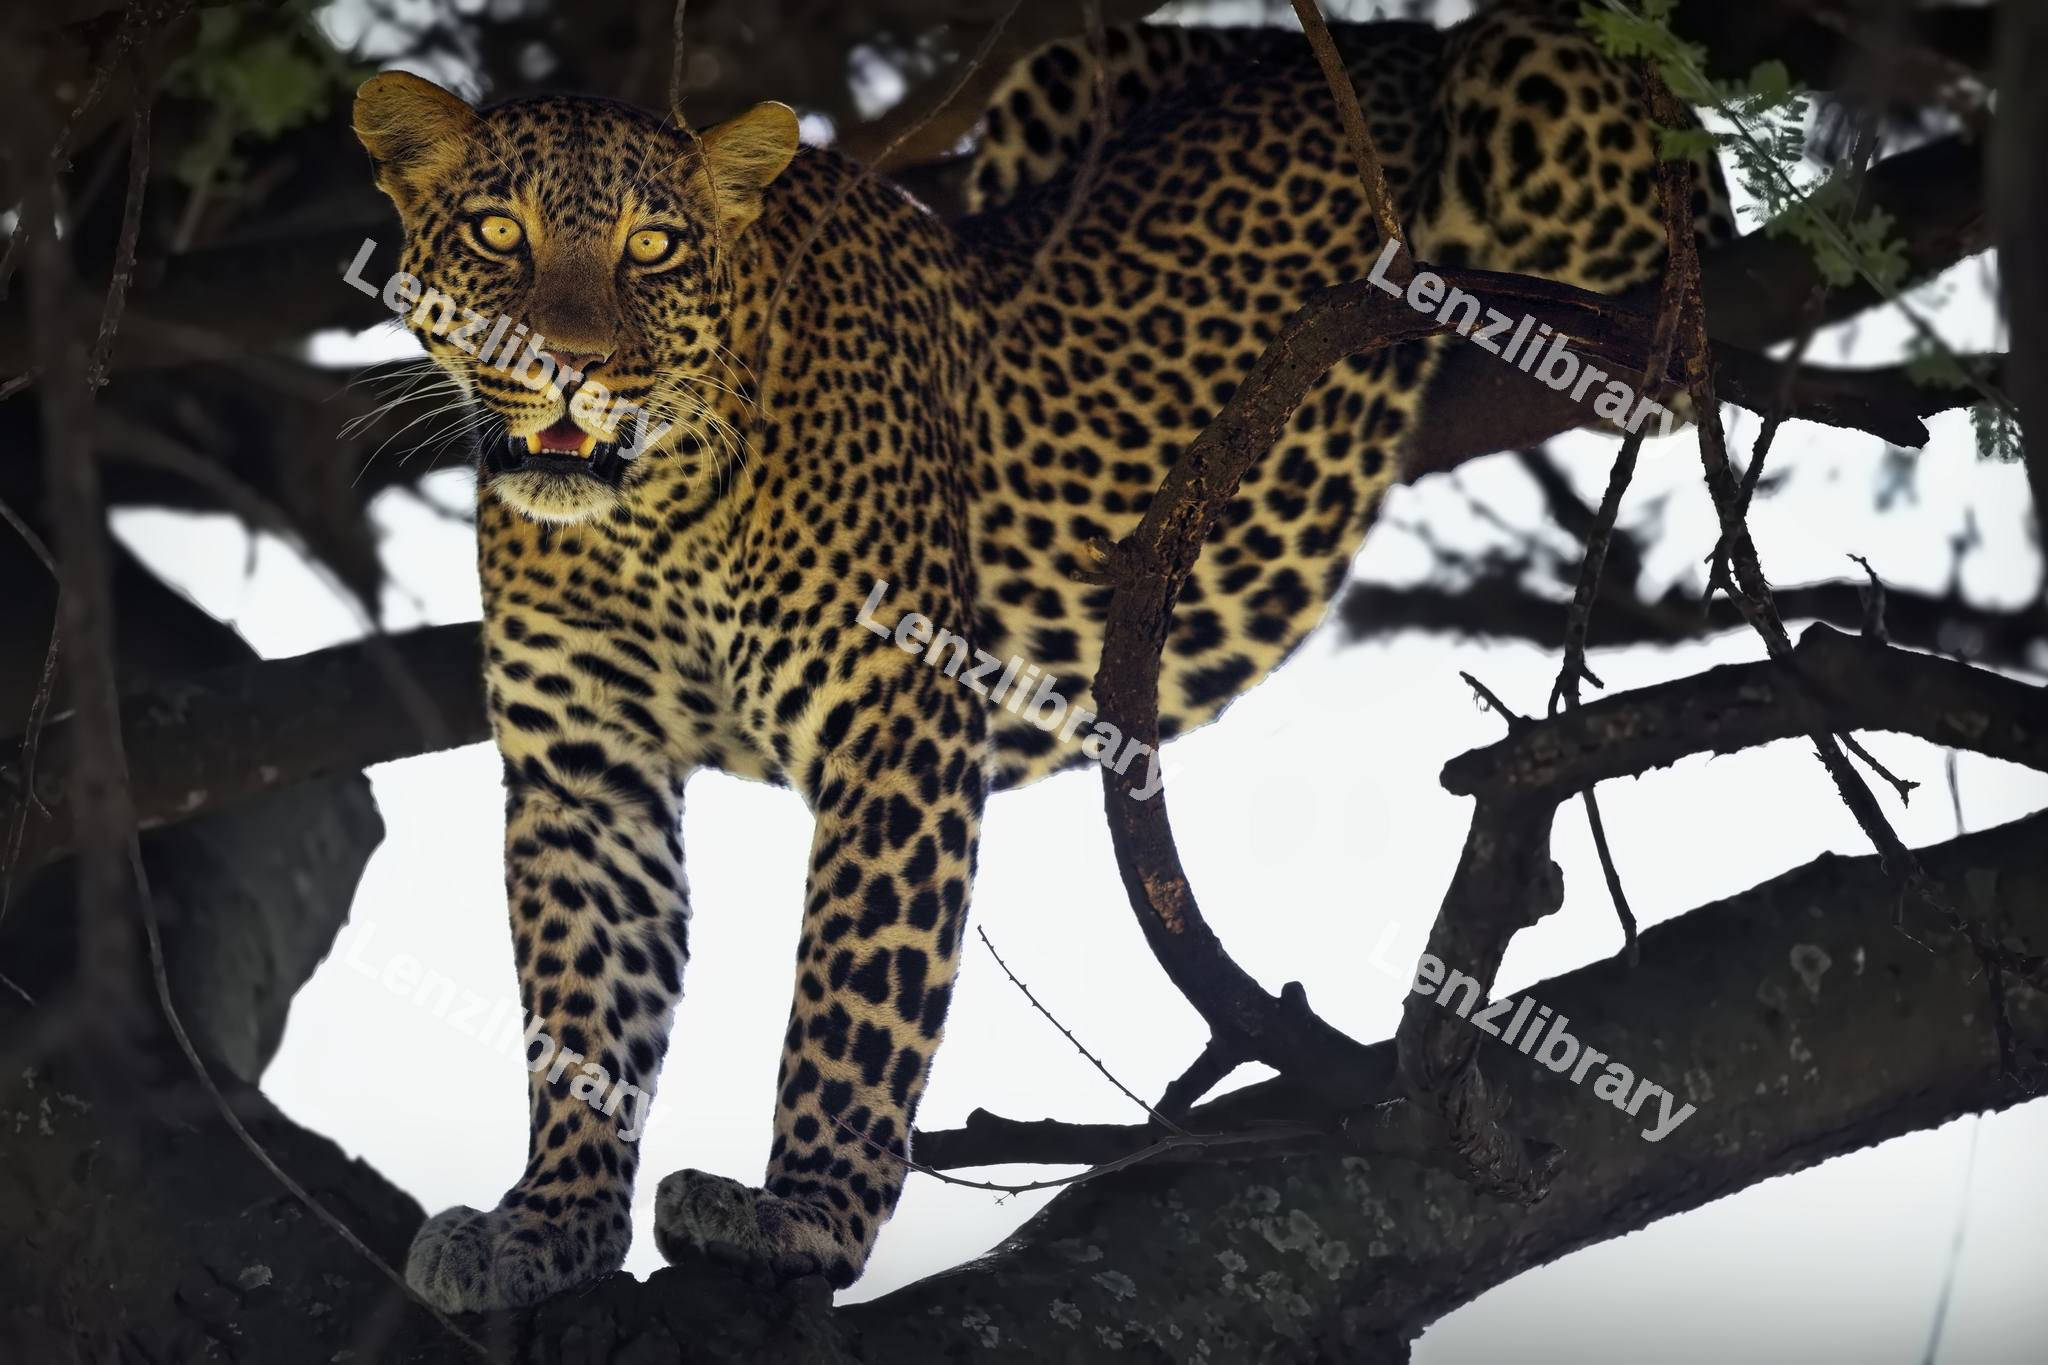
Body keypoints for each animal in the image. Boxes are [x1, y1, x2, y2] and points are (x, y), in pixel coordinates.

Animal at [351, 1, 1732, 1315]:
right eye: (498, 234)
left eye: (654, 247)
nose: (568, 367)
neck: (646, 516)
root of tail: (1364, 34)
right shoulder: (584, 771)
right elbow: (583, 1009)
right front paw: (551, 1228)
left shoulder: (894, 715)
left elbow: (855, 995)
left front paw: (803, 1216)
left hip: (1534, 80)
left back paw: (1653, 324)